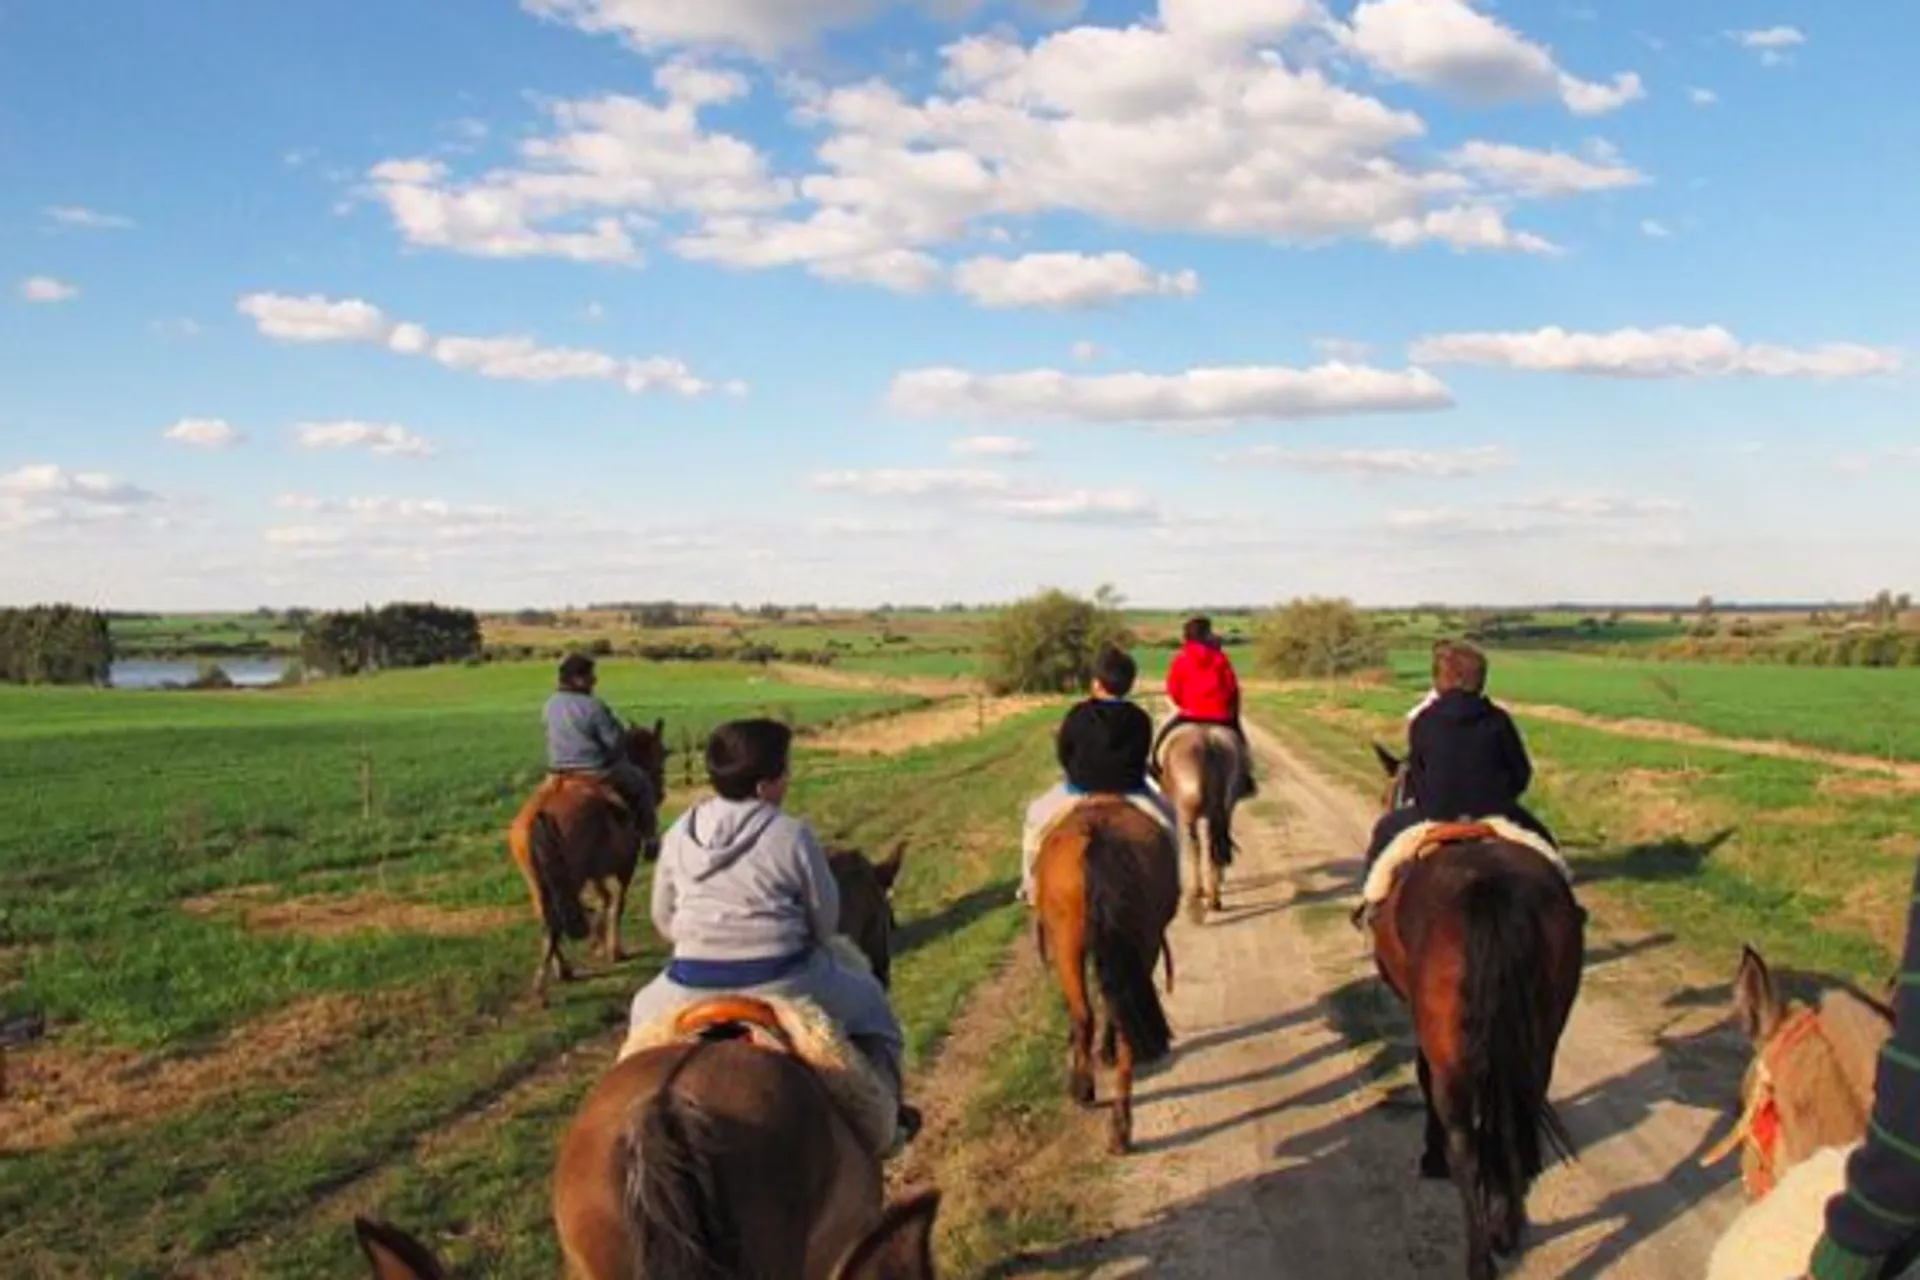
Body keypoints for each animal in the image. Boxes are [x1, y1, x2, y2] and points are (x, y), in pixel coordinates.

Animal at [510, 721, 668, 997]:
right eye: (660, 753)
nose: (660, 793)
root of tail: (542, 811)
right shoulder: (624, 866)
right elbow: (617, 902)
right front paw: (614, 950)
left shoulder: (595, 872)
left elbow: (603, 898)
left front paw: (598, 942)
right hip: (571, 879)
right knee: (555, 922)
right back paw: (548, 979)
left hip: (539, 883)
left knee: (547, 918)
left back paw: (560, 970)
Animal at [1036, 794, 1182, 1159]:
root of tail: (1098, 838)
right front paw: (1107, 1051)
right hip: (1129, 946)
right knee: (1111, 1017)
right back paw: (1119, 1128)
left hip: (1068, 947)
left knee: (1083, 1016)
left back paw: (1085, 1092)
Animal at [1152, 721, 1244, 921]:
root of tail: (1209, 745)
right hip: (1223, 808)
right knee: (1213, 845)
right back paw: (1214, 898)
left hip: (1189, 814)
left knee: (1196, 845)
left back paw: (1197, 895)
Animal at [1374, 744, 1582, 1274]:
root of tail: (1487, 887)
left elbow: (1421, 1075)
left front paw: (1429, 1156)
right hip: (1541, 1034)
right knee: (1517, 1110)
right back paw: (1508, 1219)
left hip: (1451, 1049)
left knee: (1464, 1142)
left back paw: (1479, 1256)